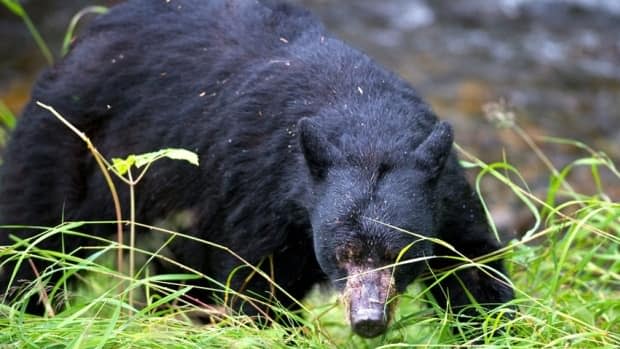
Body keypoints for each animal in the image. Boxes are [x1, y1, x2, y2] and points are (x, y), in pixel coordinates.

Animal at [0, 0, 512, 338]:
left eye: (401, 254)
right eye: (342, 253)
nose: (368, 320)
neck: (365, 117)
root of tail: (83, 39)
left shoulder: (444, 189)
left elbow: (474, 267)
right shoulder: (257, 192)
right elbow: (253, 288)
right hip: (70, 142)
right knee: (33, 239)